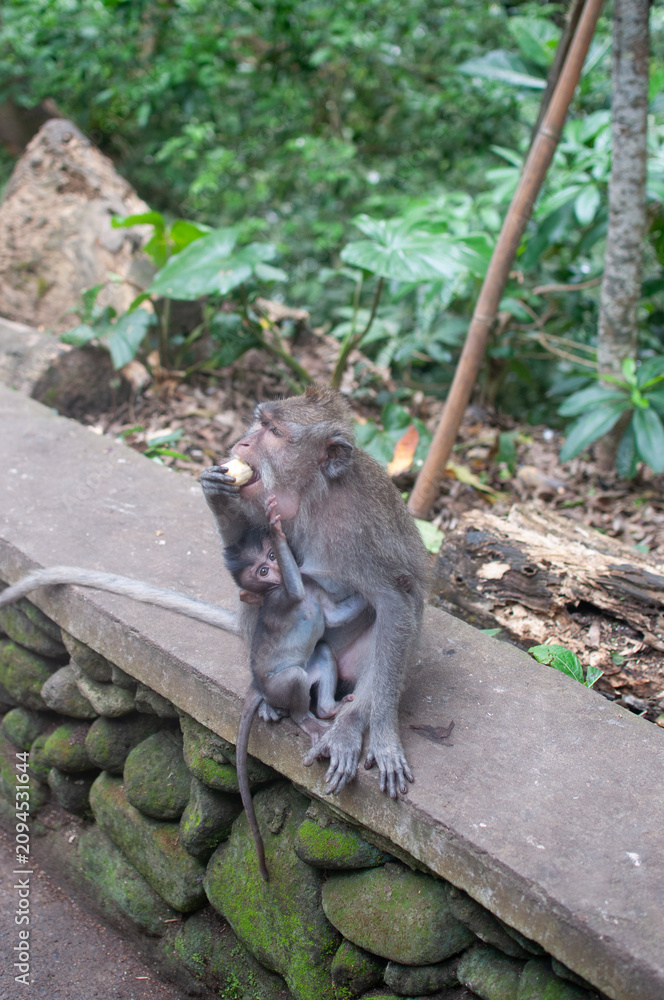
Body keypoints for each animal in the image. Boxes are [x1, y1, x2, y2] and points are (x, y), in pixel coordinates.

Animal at [200, 384, 431, 800]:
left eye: (274, 432)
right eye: (260, 421)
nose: (242, 442)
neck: (312, 494)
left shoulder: (360, 531)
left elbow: (396, 600)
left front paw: (382, 735)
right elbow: (243, 554)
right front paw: (217, 494)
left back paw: (346, 723)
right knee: (259, 605)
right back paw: (267, 696)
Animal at [226, 496, 366, 880]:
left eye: (271, 558)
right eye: (262, 571)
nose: (275, 565)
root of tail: (259, 686)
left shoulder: (315, 593)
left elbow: (334, 617)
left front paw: (370, 596)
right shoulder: (288, 595)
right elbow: (297, 588)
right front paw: (275, 525)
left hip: (311, 663)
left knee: (323, 651)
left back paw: (330, 709)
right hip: (279, 685)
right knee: (296, 681)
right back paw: (309, 721)